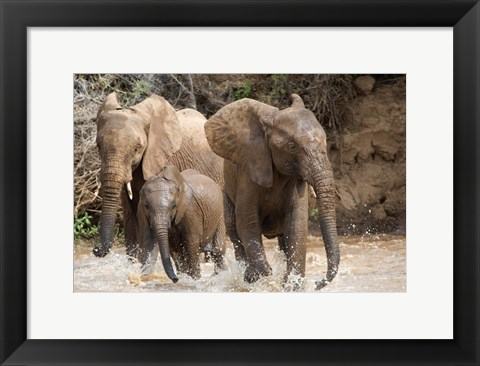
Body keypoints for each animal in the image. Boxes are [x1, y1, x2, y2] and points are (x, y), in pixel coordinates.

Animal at [204, 93, 340, 288]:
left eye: (325, 141)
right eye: (292, 146)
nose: (318, 283)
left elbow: (297, 223)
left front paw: (292, 285)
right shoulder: (249, 171)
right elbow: (247, 220)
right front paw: (259, 275)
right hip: (226, 197)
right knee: (234, 230)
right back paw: (245, 275)